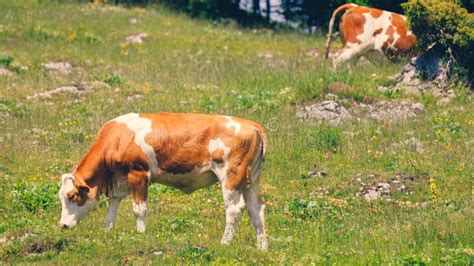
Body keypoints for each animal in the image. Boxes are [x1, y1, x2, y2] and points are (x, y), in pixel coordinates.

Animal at [57, 112, 268, 249]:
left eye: (72, 196)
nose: (63, 225)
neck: (117, 137)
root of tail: (252, 125)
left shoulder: (139, 175)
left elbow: (139, 209)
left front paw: (140, 235)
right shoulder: (118, 181)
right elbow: (112, 208)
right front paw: (108, 231)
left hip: (231, 177)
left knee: (234, 209)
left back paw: (224, 243)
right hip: (251, 180)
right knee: (256, 209)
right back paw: (262, 247)